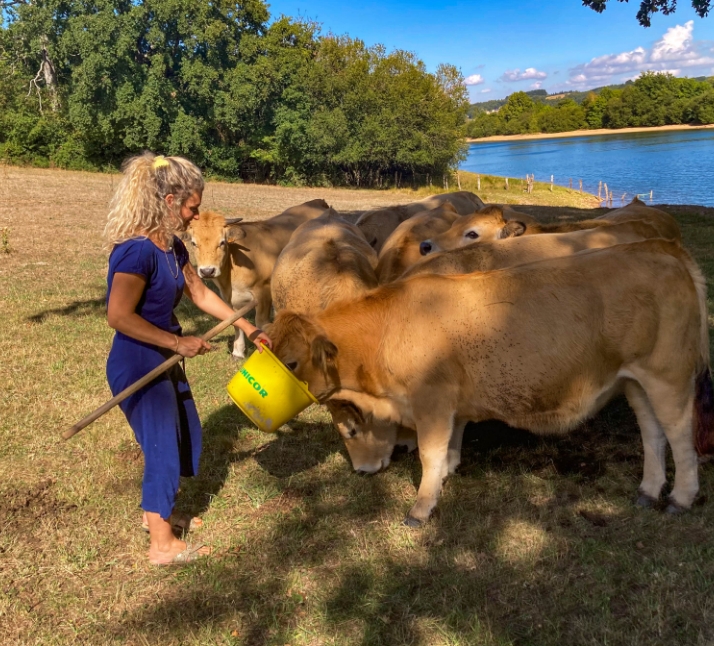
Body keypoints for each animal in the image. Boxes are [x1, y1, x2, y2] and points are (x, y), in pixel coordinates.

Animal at [184, 199, 330, 358]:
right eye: (194, 243)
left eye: (222, 242)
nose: (207, 271)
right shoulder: (228, 297)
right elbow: (235, 321)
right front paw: (238, 352)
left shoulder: (263, 292)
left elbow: (261, 323)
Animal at [268, 239, 713, 526]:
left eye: (290, 362)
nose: (362, 473)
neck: (388, 328)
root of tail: (661, 250)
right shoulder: (452, 403)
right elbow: (450, 443)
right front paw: (447, 474)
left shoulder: (431, 399)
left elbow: (429, 453)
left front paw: (421, 508)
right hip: (636, 381)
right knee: (652, 433)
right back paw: (649, 491)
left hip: (668, 375)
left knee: (678, 434)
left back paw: (681, 498)